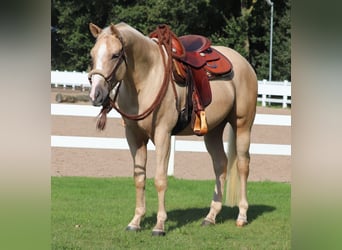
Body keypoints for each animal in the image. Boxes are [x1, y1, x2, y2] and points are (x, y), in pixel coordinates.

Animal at [88, 22, 256, 235]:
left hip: (242, 125)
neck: (147, 78)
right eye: (92, 55)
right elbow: (139, 178)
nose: (96, 94)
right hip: (213, 131)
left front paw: (159, 226)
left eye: (115, 55)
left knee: (243, 165)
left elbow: (160, 180)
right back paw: (210, 217)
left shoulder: (163, 135)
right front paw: (135, 222)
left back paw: (242, 216)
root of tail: (244, 63)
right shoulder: (134, 137)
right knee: (221, 164)